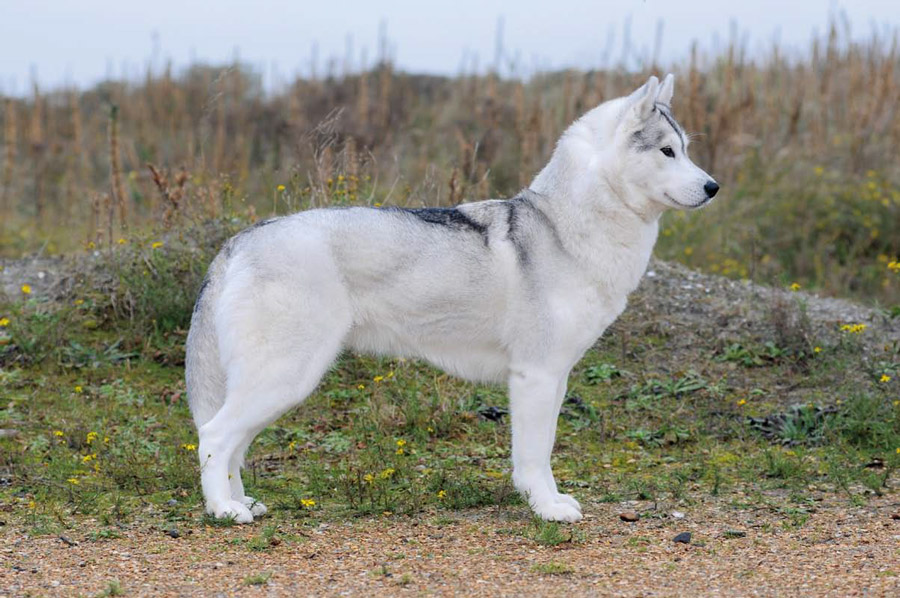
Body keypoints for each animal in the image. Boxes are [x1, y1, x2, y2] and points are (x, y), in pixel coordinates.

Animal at [186, 75, 720, 524]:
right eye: (667, 151)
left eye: (687, 150)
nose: (713, 187)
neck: (566, 227)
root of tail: (240, 241)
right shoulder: (535, 377)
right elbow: (534, 458)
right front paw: (546, 509)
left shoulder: (556, 378)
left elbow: (545, 451)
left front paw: (551, 501)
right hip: (285, 378)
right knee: (213, 437)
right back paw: (223, 511)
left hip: (275, 385)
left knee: (232, 445)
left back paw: (242, 502)